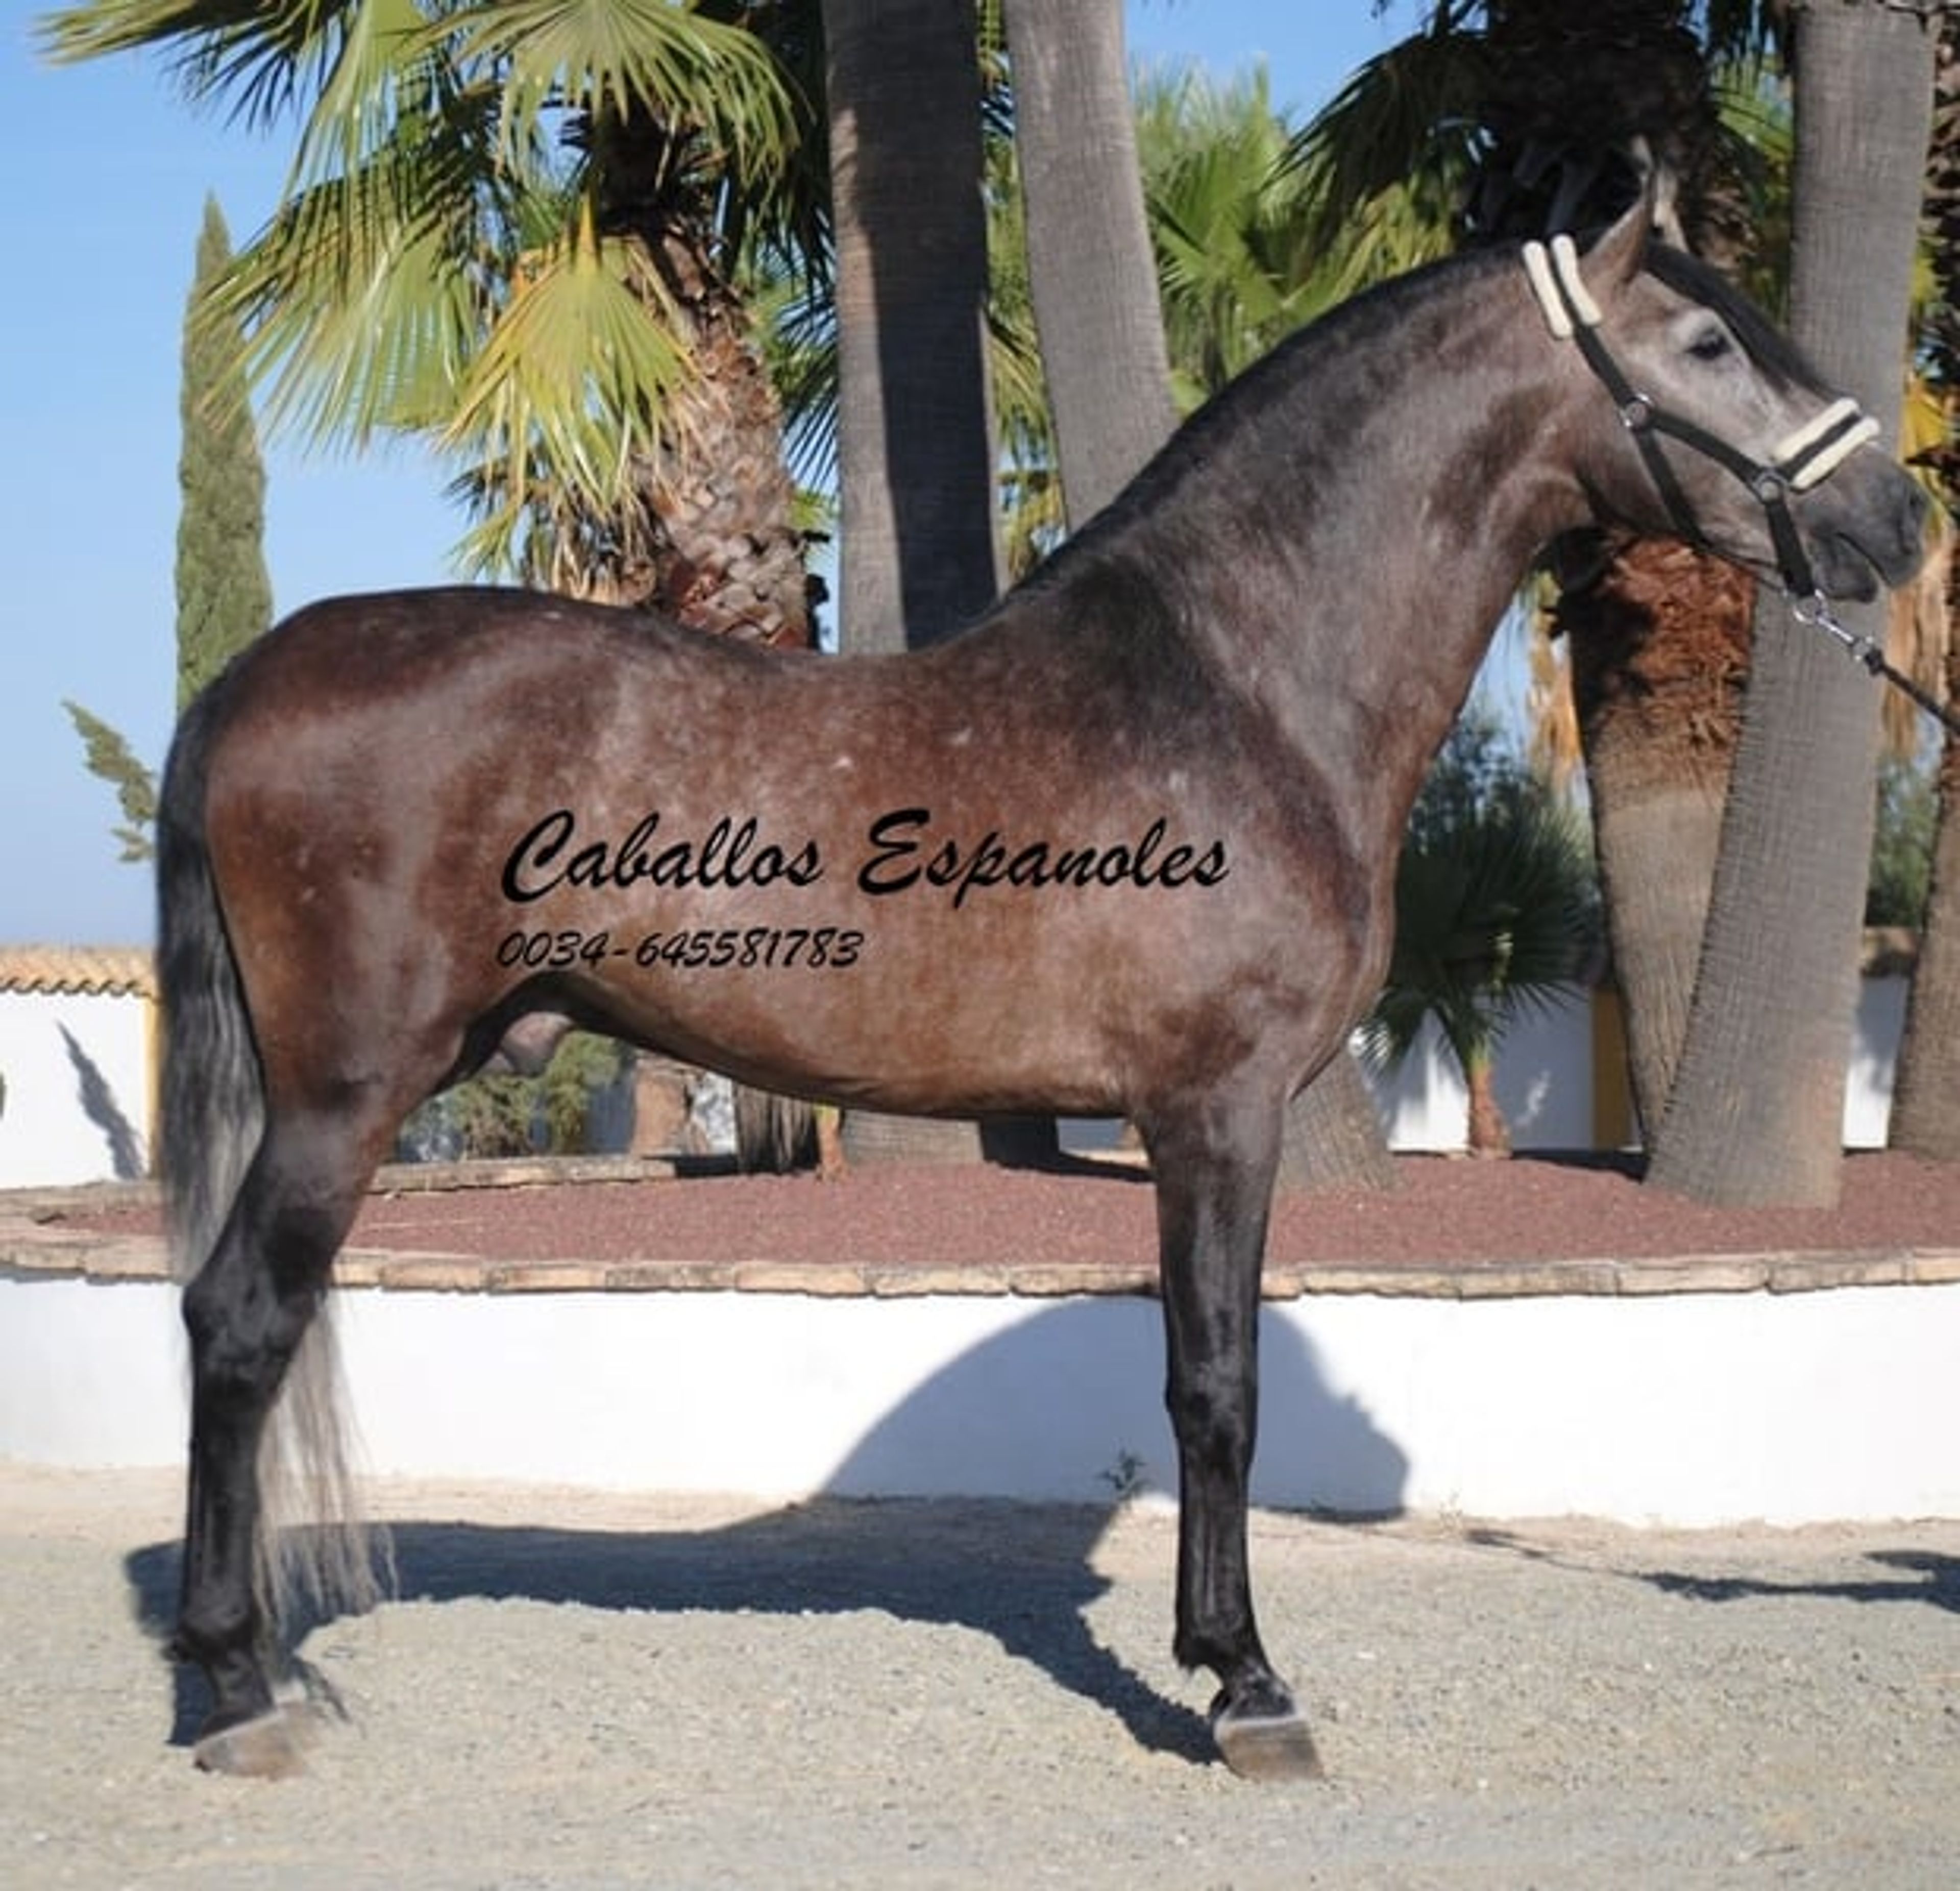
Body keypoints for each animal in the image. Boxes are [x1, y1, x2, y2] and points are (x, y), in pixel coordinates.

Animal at [155, 184, 1926, 1782]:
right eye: (1708, 339)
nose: (1897, 520)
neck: (1238, 686)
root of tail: (252, 678)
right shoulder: (1213, 1111)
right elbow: (1216, 1384)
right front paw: (1245, 1685)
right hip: (343, 1097)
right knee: (238, 1324)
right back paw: (240, 1689)